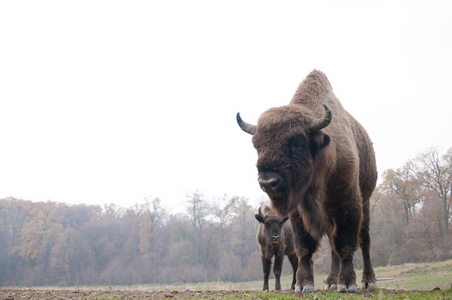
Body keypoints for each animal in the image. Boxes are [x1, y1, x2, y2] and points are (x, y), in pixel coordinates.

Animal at [237, 69, 378, 292]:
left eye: (297, 145)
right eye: (257, 146)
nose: (268, 182)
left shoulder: (348, 204)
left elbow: (346, 244)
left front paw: (347, 283)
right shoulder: (298, 214)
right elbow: (305, 247)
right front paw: (304, 285)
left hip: (365, 201)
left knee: (364, 240)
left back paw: (367, 280)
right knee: (332, 246)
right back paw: (330, 282)